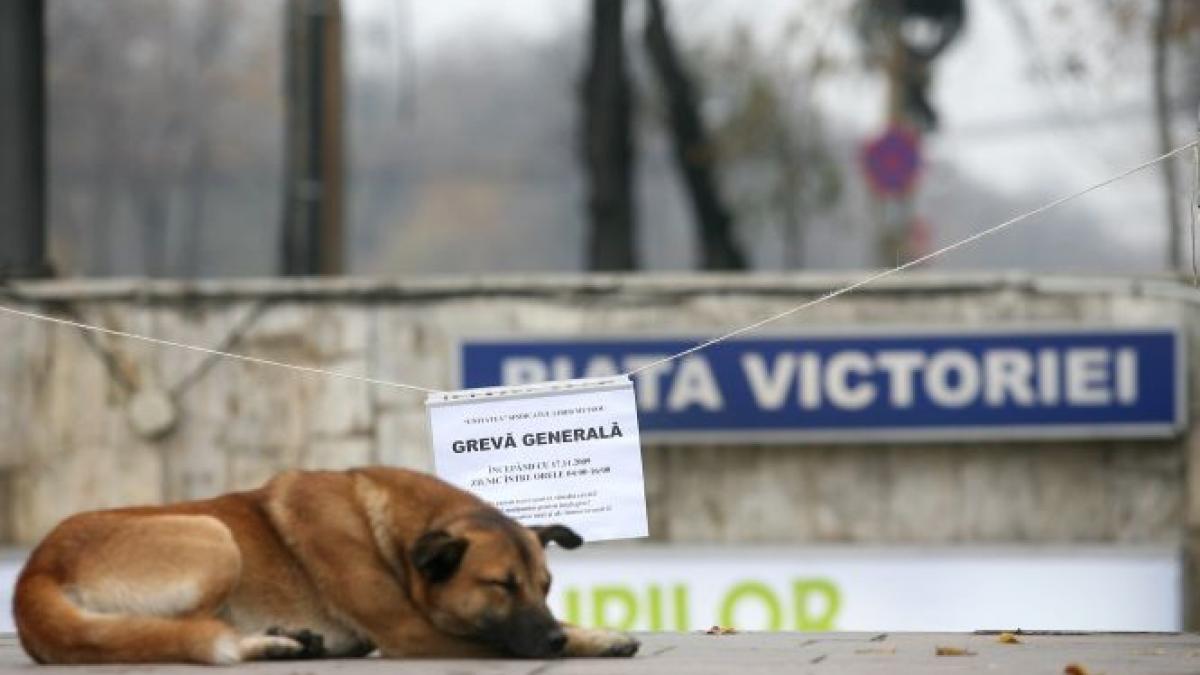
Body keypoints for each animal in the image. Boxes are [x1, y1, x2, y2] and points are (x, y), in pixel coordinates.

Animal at [14, 466, 643, 658]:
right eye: (501, 586)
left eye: (544, 585)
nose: (553, 641)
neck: (387, 532)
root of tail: (34, 572)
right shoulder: (414, 633)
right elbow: (497, 644)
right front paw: (585, 640)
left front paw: (597, 634)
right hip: (215, 535)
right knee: (182, 634)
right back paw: (262, 645)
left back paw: (285, 641)